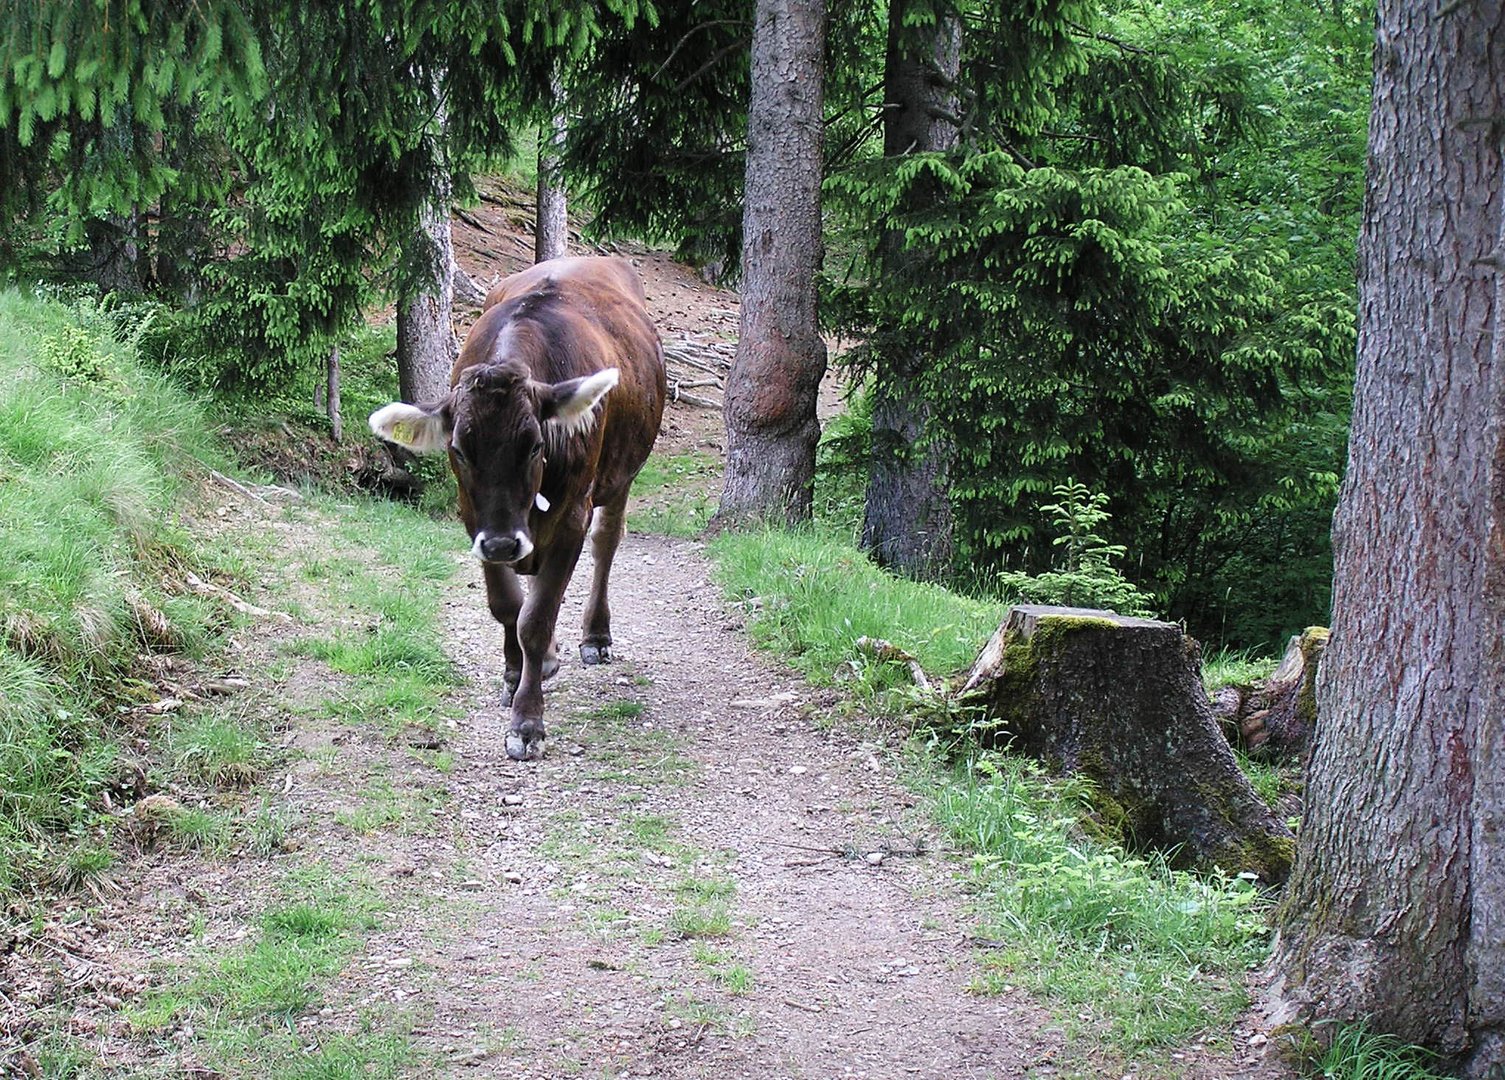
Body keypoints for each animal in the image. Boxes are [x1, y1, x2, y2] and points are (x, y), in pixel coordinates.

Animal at [370, 255, 665, 761]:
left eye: (534, 445)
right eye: (459, 449)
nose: (505, 544)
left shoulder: (570, 517)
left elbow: (537, 618)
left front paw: (527, 722)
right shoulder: (476, 521)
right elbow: (508, 606)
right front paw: (514, 673)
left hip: (621, 476)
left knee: (606, 544)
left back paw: (595, 635)